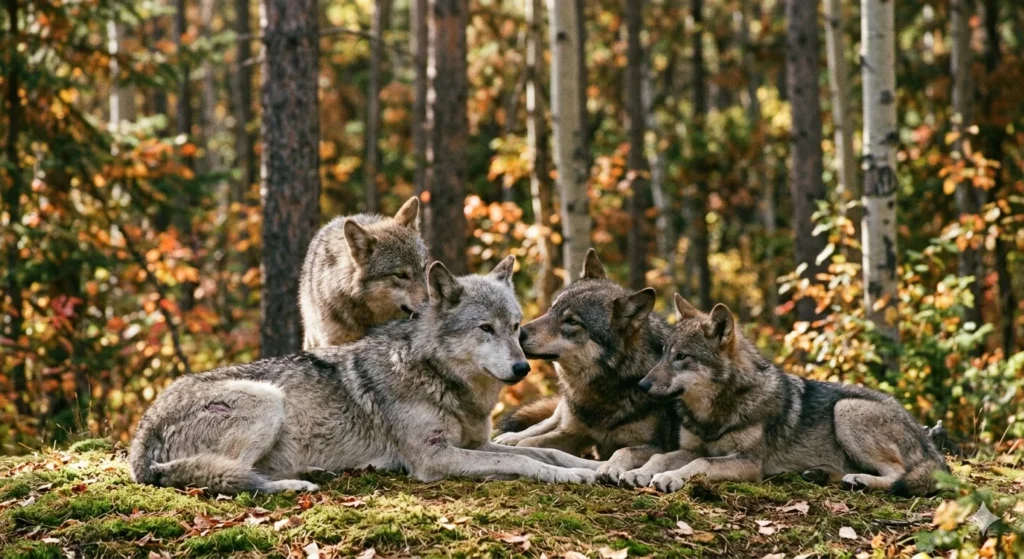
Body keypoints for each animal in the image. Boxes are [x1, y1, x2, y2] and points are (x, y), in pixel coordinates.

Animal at [129, 257, 600, 494]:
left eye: (516, 327)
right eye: (485, 328)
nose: (522, 367)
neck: (436, 375)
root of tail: (142, 433)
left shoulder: (476, 443)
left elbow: (547, 451)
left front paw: (591, 467)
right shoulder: (432, 457)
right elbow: (520, 460)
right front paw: (569, 477)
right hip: (268, 398)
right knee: (228, 476)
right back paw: (296, 484)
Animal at [494, 249, 680, 467]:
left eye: (572, 321)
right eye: (551, 310)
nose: (518, 334)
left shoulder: (655, 445)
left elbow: (624, 451)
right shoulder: (571, 433)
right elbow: (530, 441)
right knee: (544, 422)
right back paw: (508, 438)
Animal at [615, 294, 948, 497]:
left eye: (682, 357)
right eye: (663, 353)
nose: (642, 385)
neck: (714, 413)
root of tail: (926, 439)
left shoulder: (748, 463)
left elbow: (701, 465)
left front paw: (670, 478)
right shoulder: (692, 448)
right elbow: (661, 456)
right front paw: (641, 472)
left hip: (846, 409)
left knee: (899, 475)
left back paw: (860, 481)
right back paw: (821, 475)